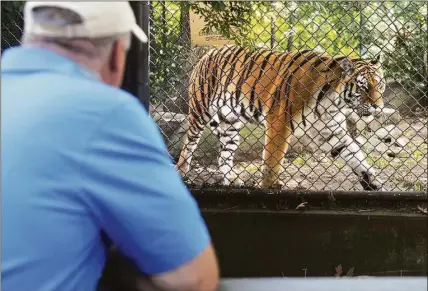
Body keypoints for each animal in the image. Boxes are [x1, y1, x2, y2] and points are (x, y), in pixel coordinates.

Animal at [176, 45, 386, 192]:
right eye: (363, 87)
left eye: (380, 85)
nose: (378, 106)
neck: (334, 102)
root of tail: (209, 52)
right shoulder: (279, 121)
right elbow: (272, 160)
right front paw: (269, 186)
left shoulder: (330, 131)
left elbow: (355, 154)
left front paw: (372, 181)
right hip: (200, 111)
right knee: (188, 146)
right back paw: (181, 174)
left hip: (230, 122)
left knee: (223, 155)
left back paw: (234, 181)